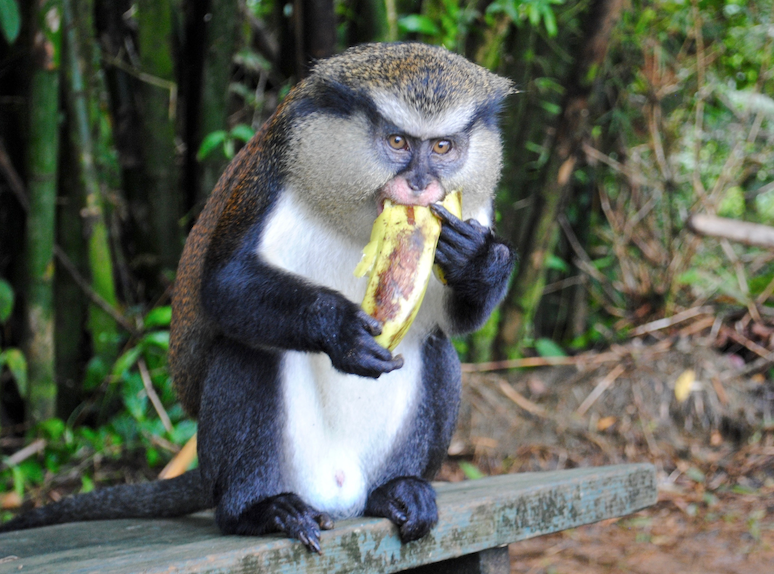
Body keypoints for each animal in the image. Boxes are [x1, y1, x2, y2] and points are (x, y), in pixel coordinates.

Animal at [1, 42, 520, 552]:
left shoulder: (473, 210)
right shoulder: (271, 183)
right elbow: (225, 287)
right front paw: (339, 330)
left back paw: (396, 490)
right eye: (397, 142)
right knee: (246, 347)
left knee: (436, 348)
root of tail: (340, 490)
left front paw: (477, 262)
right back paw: (258, 510)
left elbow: (457, 323)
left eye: (442, 146)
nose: (419, 183)